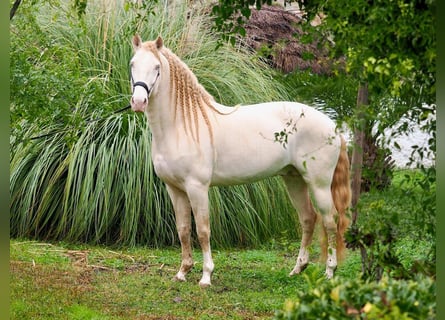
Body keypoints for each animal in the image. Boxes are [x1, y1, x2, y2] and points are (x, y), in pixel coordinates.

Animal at [128, 35, 350, 288]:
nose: (138, 101)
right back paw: (297, 269)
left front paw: (206, 276)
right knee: (308, 218)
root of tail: (332, 126)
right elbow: (183, 229)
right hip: (294, 179)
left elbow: (203, 230)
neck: (181, 125)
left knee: (330, 221)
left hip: (319, 184)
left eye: (157, 68)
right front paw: (182, 272)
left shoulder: (197, 188)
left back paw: (330, 272)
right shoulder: (174, 189)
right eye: (132, 64)